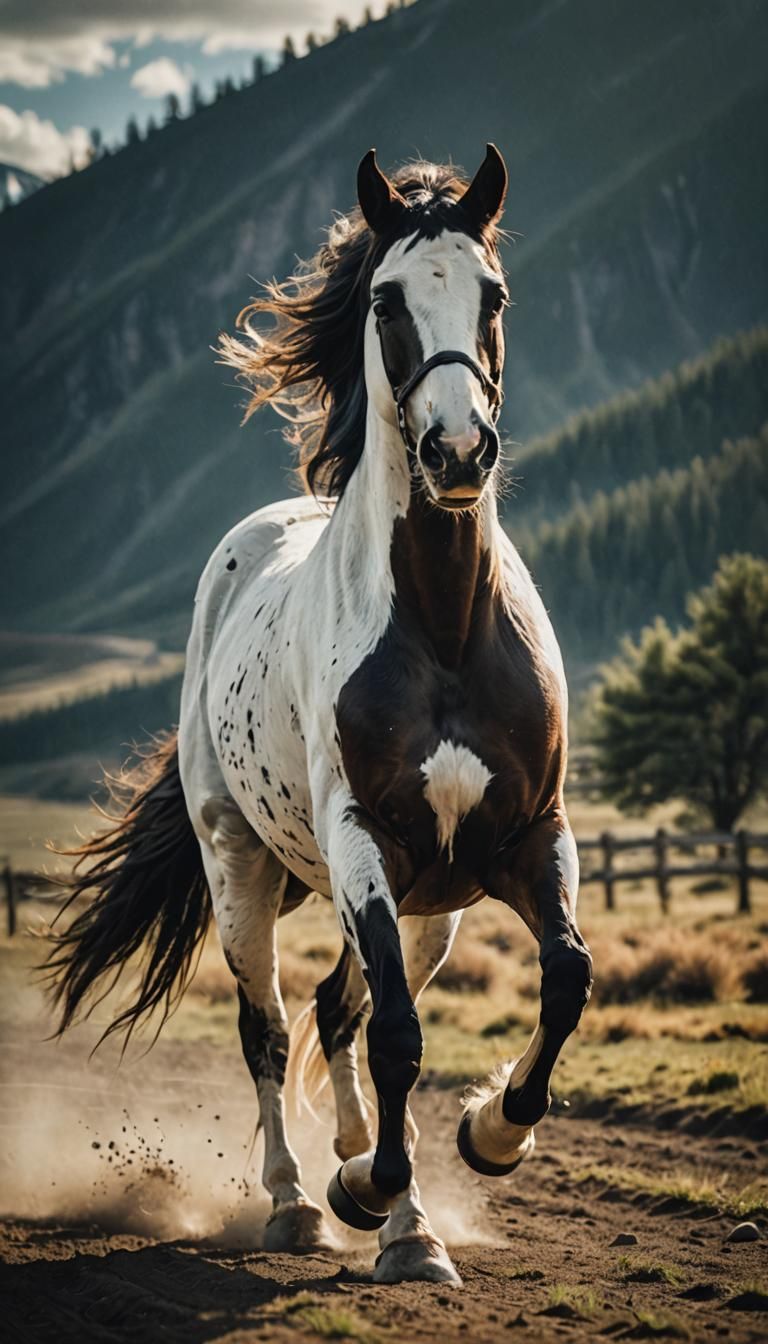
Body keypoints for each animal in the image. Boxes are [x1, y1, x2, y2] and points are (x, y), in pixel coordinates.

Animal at [46, 144, 593, 1286]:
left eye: (494, 293)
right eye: (387, 299)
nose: (458, 453)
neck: (443, 626)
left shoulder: (528, 838)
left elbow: (563, 978)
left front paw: (486, 1139)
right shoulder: (361, 840)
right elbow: (396, 1037)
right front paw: (378, 1199)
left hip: (433, 905)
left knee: (342, 1014)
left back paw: (372, 1180)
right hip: (245, 869)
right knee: (270, 1025)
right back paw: (303, 1200)